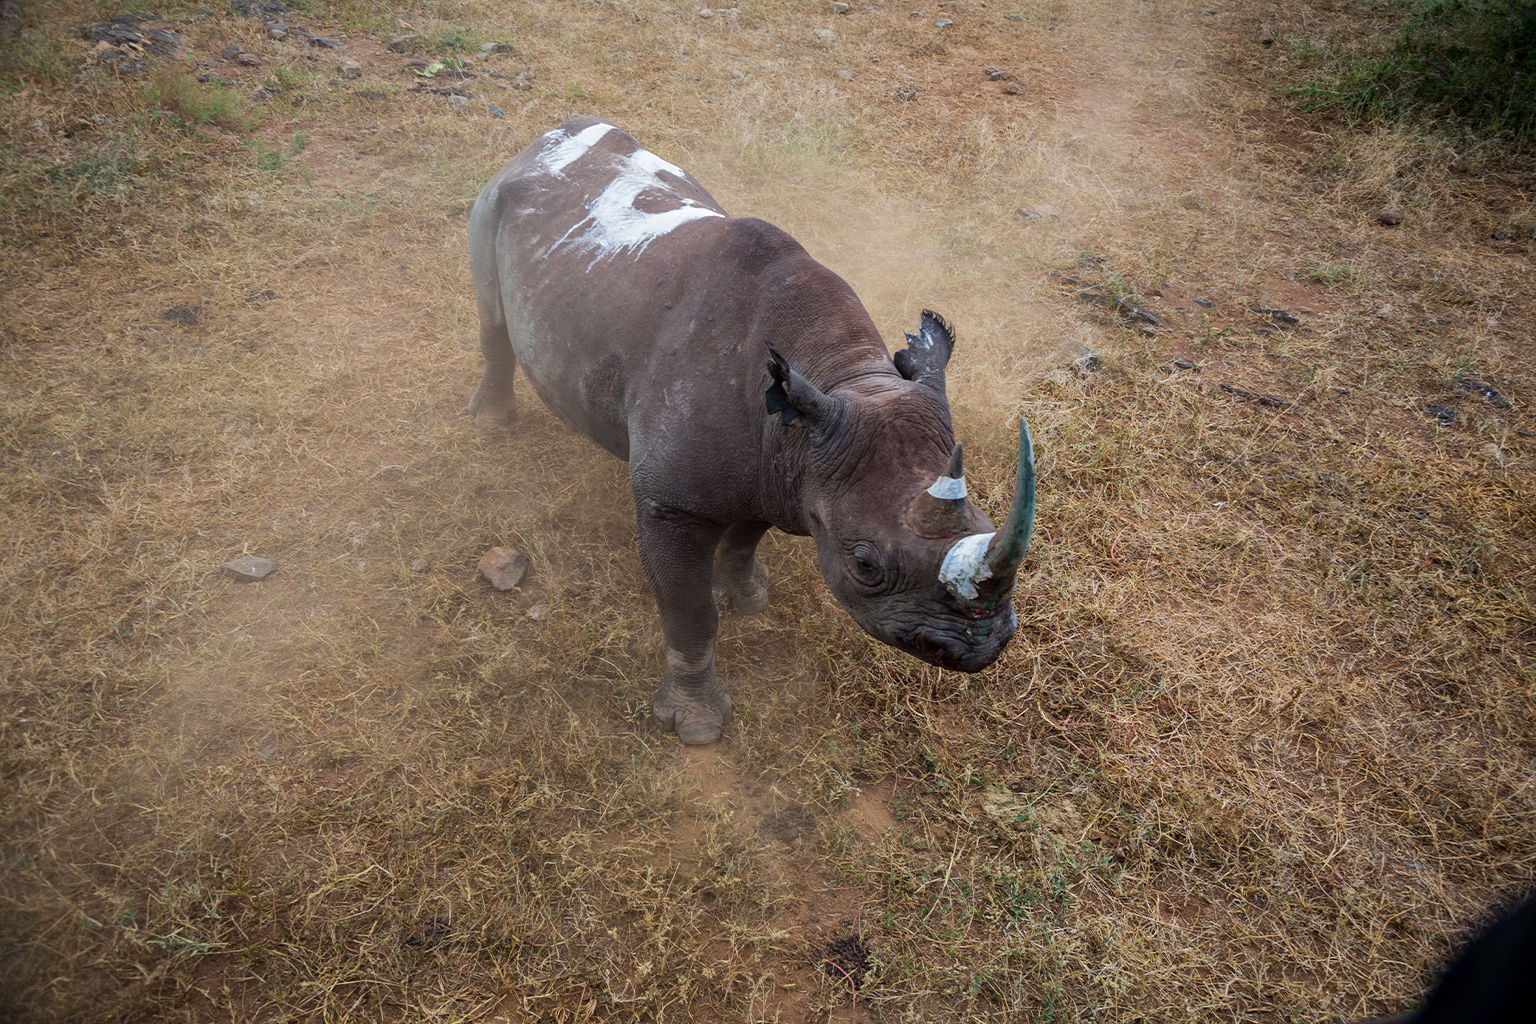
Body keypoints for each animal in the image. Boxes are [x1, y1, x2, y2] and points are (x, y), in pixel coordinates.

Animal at [466, 118, 1038, 746]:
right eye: (865, 565)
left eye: (984, 522)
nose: (978, 650)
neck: (844, 376)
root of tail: (547, 137)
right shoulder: (673, 504)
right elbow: (690, 613)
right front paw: (696, 726)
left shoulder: (784, 459)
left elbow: (746, 535)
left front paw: (746, 597)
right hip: (493, 203)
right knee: (492, 317)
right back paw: (491, 422)